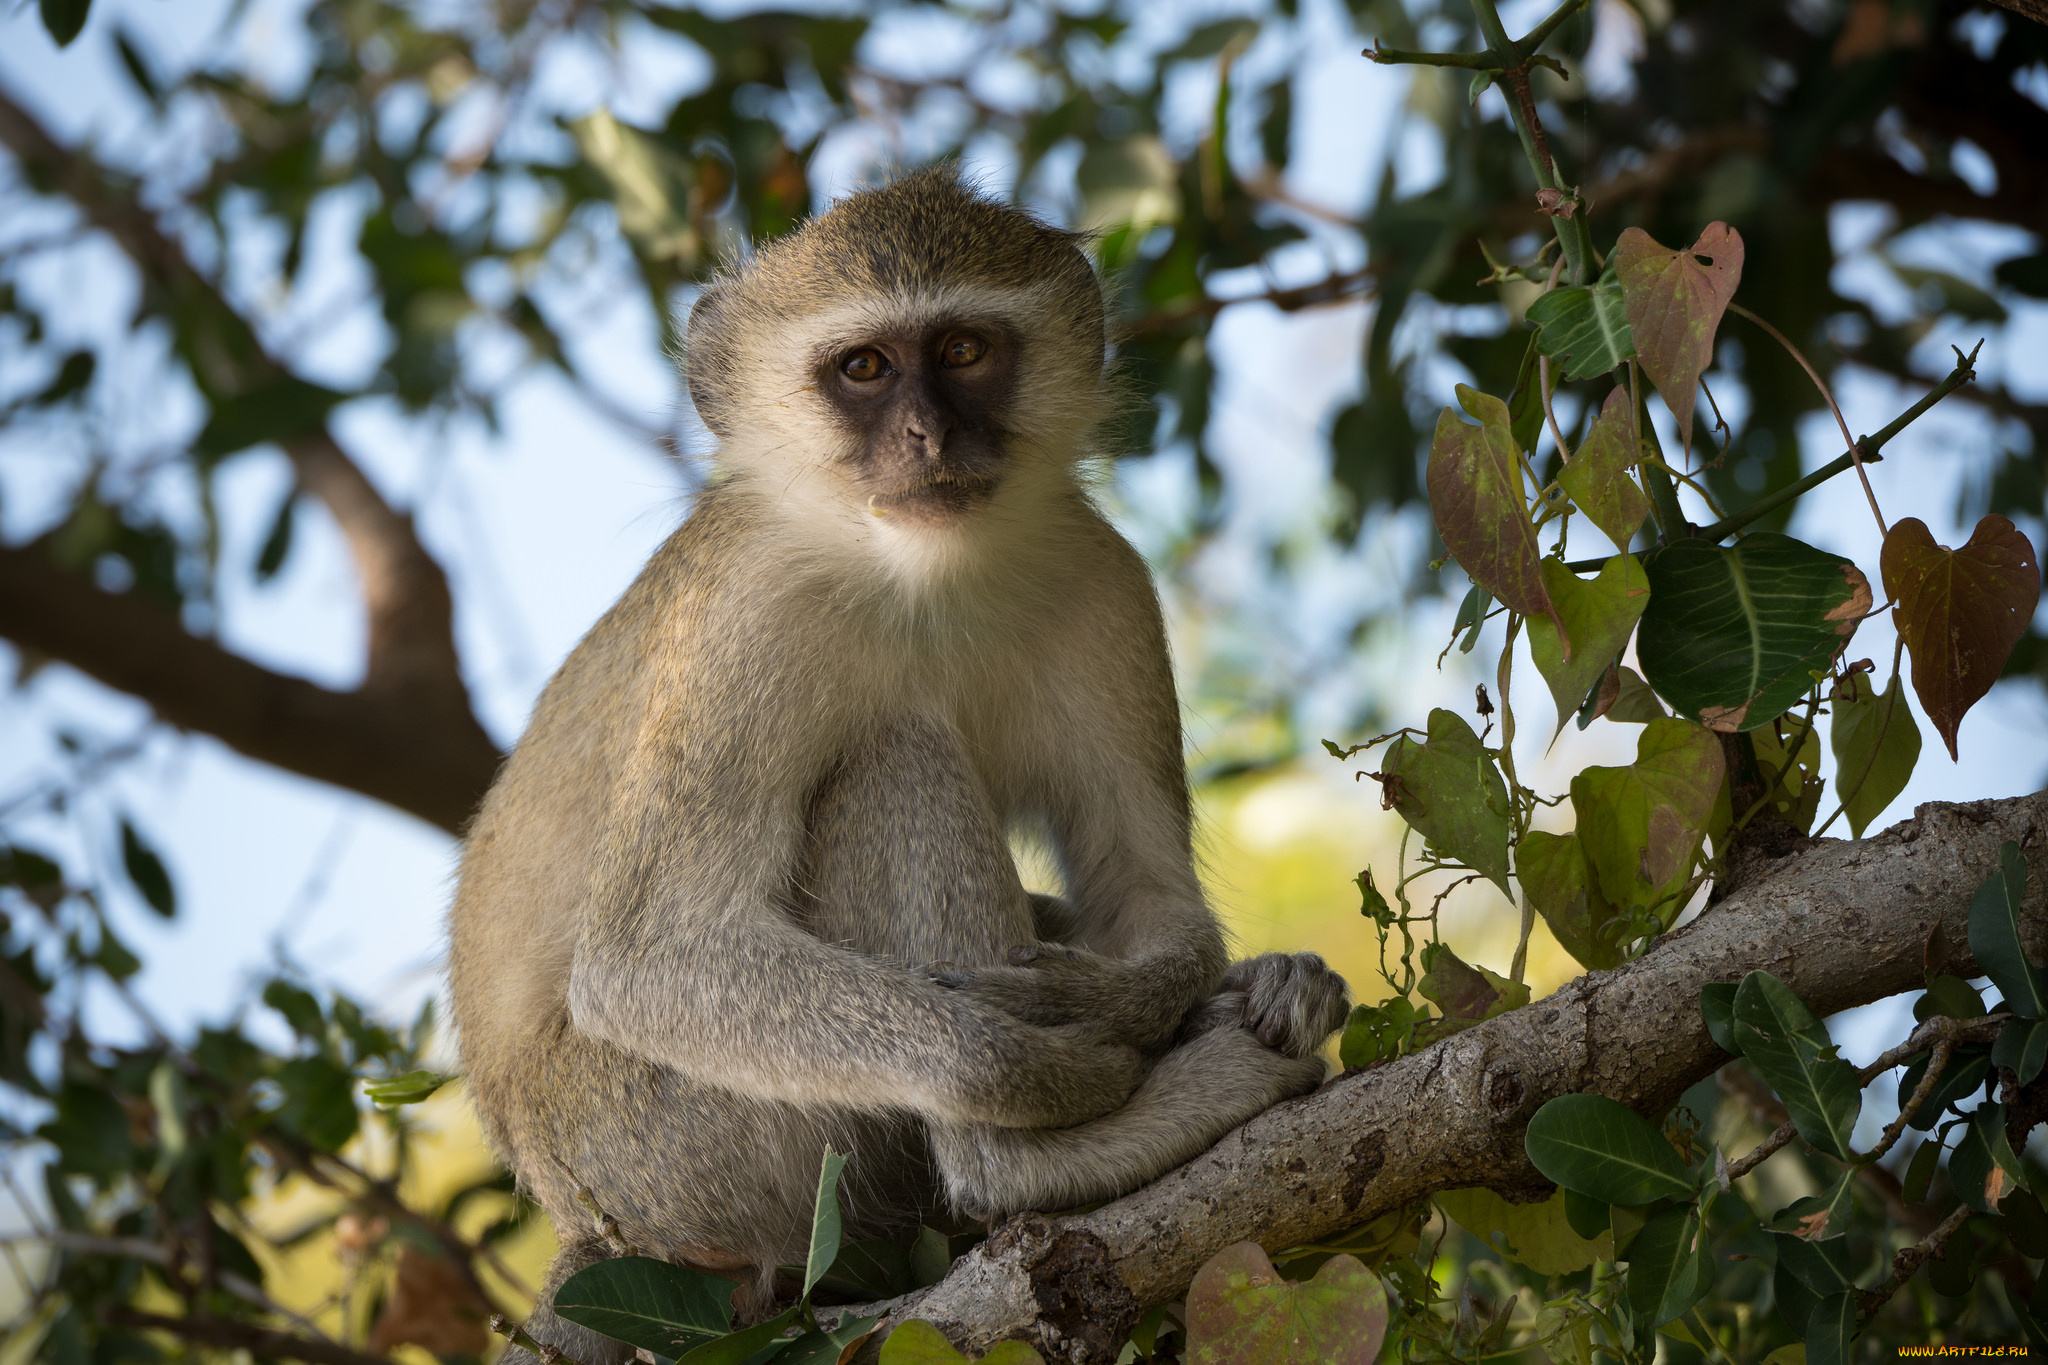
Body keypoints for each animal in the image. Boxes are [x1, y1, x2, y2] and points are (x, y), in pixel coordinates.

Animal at [444, 162, 1343, 1342]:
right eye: (863, 368)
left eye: (961, 350)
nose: (926, 438)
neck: (916, 573)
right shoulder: (748, 618)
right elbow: (653, 956)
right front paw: (1047, 1062)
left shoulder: (1105, 581)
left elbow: (1141, 890)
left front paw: (1135, 997)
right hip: (683, 1152)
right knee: (891, 756)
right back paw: (1023, 1160)